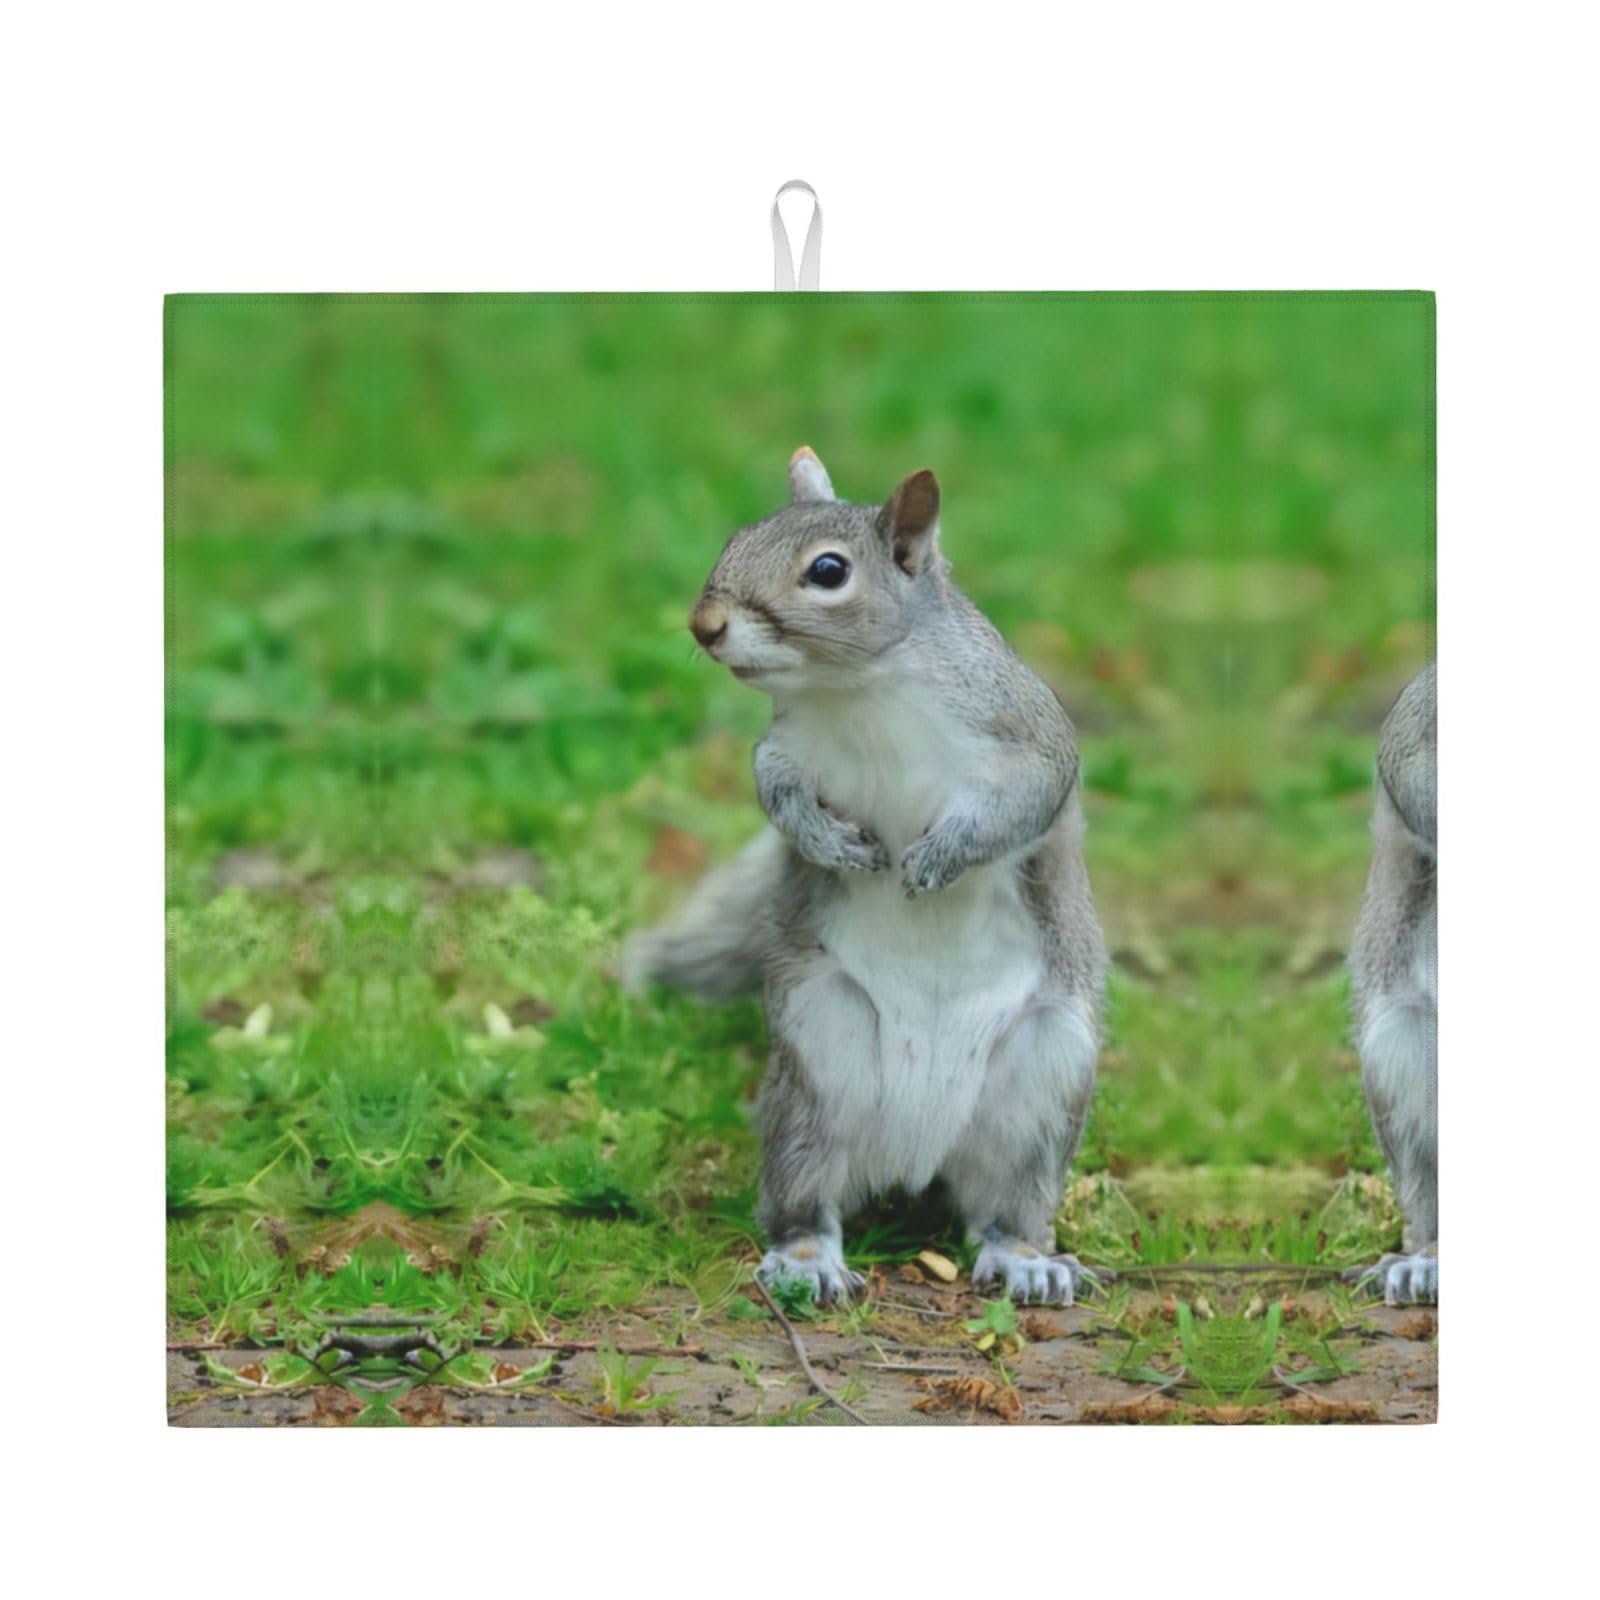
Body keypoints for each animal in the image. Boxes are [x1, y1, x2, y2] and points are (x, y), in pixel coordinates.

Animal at [625, 447, 1108, 1306]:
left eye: (828, 570)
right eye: (737, 536)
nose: (704, 626)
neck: (858, 690)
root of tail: (919, 1154)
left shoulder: (1026, 733)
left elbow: (1026, 801)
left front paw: (938, 858)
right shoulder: (786, 750)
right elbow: (777, 795)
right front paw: (830, 845)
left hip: (1041, 1087)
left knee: (1007, 1209)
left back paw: (1028, 1260)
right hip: (818, 1068)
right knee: (805, 1198)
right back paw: (805, 1261)